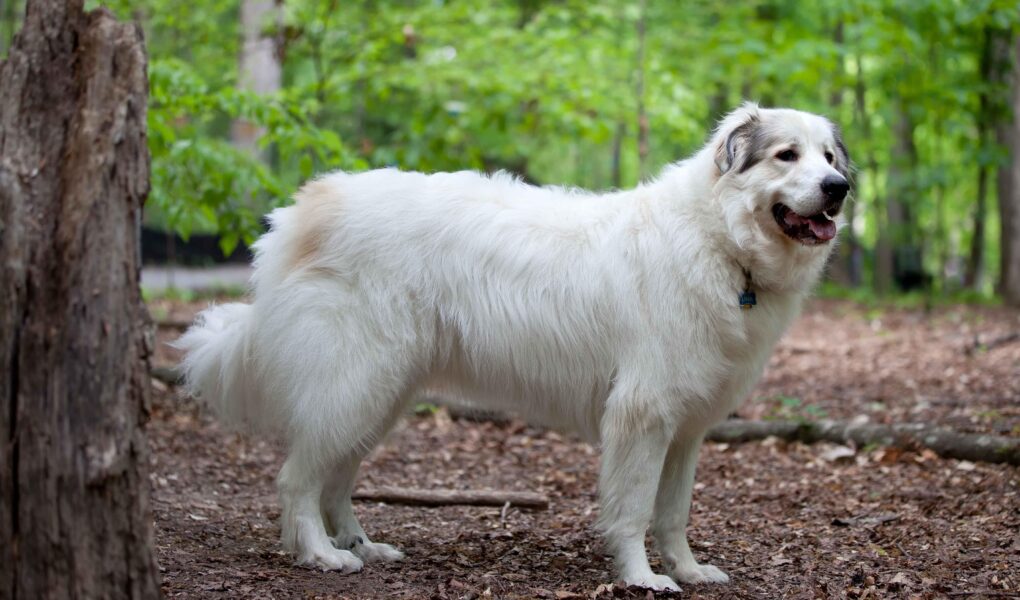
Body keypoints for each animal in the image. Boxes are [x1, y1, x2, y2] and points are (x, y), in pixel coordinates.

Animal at [179, 103, 848, 591]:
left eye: (829, 156)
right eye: (787, 155)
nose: (839, 187)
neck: (719, 241)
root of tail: (302, 210)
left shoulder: (684, 430)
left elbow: (674, 513)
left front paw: (686, 570)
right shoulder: (643, 416)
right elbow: (634, 510)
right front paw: (642, 579)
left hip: (379, 396)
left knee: (336, 479)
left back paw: (362, 545)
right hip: (355, 384)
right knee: (297, 480)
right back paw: (321, 554)